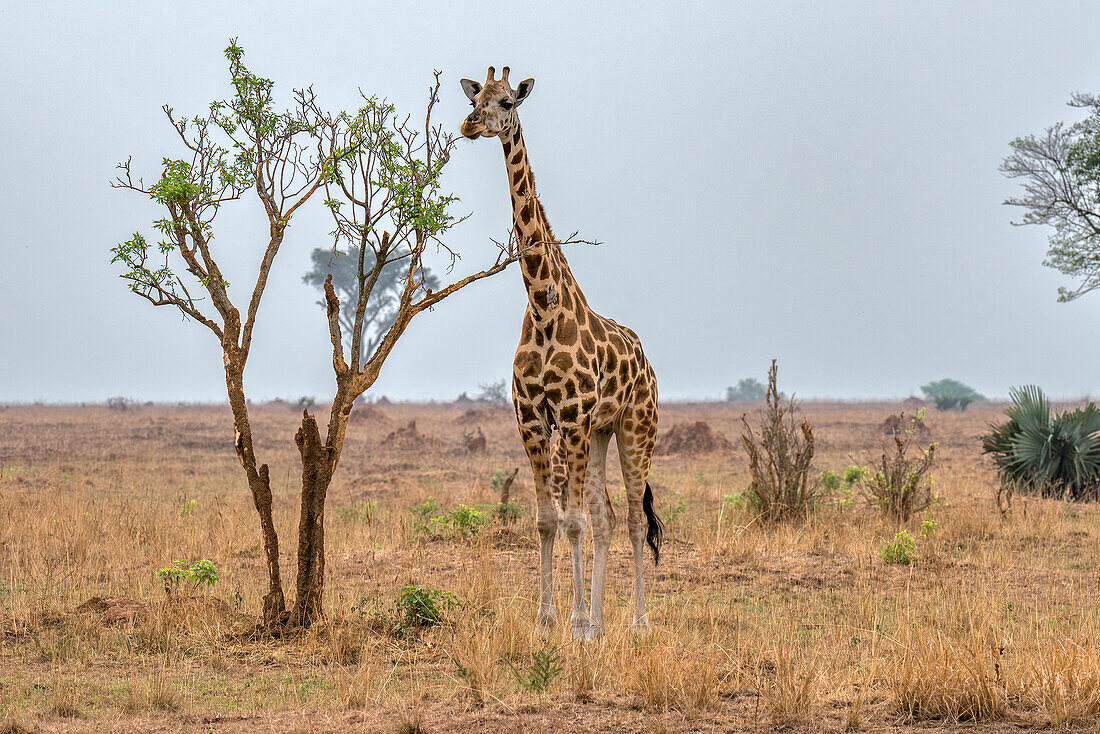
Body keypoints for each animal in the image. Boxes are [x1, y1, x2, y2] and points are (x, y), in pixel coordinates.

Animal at [457, 66, 655, 638]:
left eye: (506, 101)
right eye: (474, 98)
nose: (469, 125)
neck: (543, 309)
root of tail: (648, 363)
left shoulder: (570, 414)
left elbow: (572, 522)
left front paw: (575, 622)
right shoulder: (530, 415)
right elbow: (549, 519)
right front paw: (550, 618)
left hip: (635, 428)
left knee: (633, 518)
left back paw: (637, 622)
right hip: (603, 430)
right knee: (606, 516)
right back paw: (603, 620)